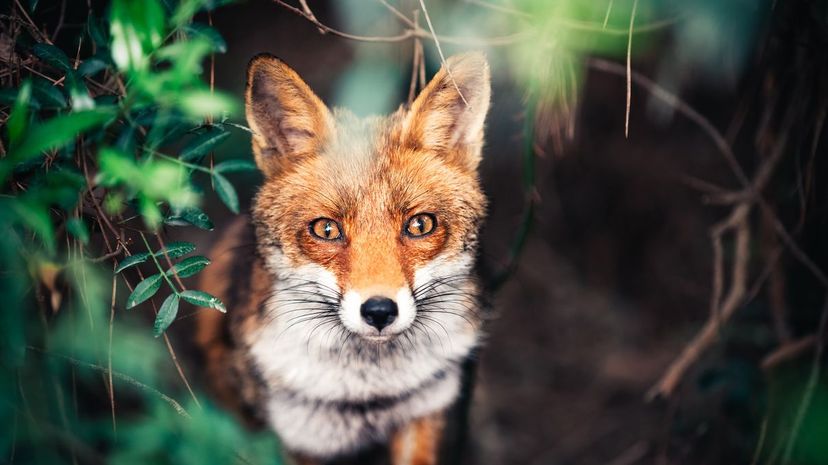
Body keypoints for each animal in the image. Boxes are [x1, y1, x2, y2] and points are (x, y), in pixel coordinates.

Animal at [195, 51, 491, 465]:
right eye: (327, 230)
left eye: (420, 225)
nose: (379, 311)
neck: (369, 394)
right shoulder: (302, 439)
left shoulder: (423, 413)